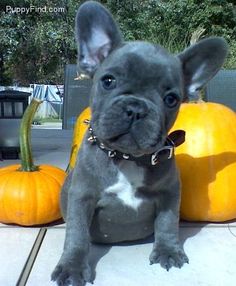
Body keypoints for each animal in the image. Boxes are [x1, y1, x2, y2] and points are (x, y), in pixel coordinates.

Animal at [51, 1, 227, 284]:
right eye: (108, 81)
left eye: (171, 99)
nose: (135, 109)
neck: (126, 158)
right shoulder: (81, 196)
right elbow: (76, 234)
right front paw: (72, 268)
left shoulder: (169, 194)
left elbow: (167, 223)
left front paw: (168, 251)